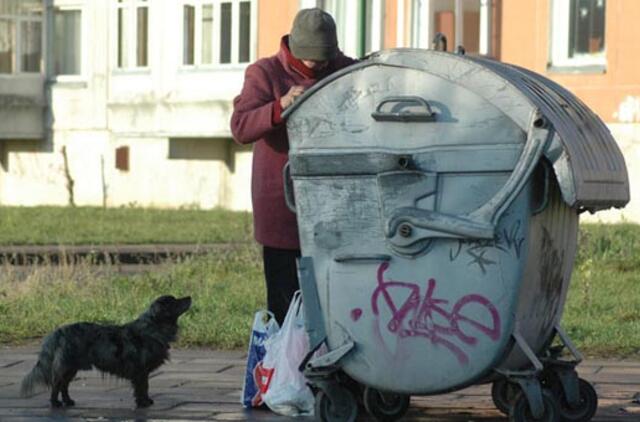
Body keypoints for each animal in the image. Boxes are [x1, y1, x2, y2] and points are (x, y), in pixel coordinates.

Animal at [20, 296, 190, 408]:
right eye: (174, 301)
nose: (189, 297)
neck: (153, 327)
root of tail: (58, 332)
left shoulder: (142, 372)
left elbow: (145, 388)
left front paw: (146, 401)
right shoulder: (140, 371)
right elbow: (142, 388)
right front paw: (143, 403)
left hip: (72, 368)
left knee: (64, 386)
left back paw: (68, 401)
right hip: (66, 366)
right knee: (56, 384)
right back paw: (55, 403)